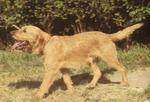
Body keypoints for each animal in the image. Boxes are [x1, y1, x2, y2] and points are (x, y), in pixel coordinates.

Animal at [10, 22, 143, 97]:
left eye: (24, 30)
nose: (11, 32)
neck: (47, 44)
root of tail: (107, 35)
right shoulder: (64, 69)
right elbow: (67, 81)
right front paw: (70, 92)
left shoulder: (51, 71)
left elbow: (44, 84)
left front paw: (38, 95)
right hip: (91, 62)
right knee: (98, 73)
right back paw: (91, 85)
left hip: (110, 59)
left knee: (123, 68)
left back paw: (125, 83)